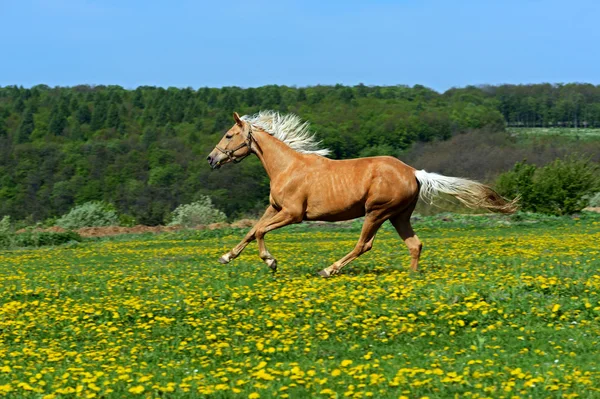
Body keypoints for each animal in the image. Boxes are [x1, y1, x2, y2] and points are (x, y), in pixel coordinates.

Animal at [206, 110, 516, 278]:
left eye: (229, 135)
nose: (211, 159)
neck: (287, 167)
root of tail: (414, 172)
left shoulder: (293, 214)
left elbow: (260, 232)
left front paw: (271, 262)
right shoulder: (274, 208)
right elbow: (251, 231)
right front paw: (226, 257)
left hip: (377, 213)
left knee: (364, 245)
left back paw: (329, 269)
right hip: (399, 216)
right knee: (415, 244)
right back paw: (412, 275)